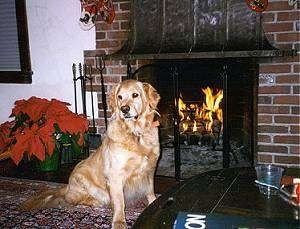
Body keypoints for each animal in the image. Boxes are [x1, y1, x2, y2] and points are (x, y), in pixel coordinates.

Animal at [21, 79, 161, 228]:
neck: (136, 134)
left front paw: (153, 203)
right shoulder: (115, 175)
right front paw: (119, 222)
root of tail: (68, 187)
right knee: (74, 200)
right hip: (84, 178)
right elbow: (119, 202)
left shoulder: (149, 169)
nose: (124, 109)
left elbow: (150, 190)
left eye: (135, 95)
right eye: (120, 97)